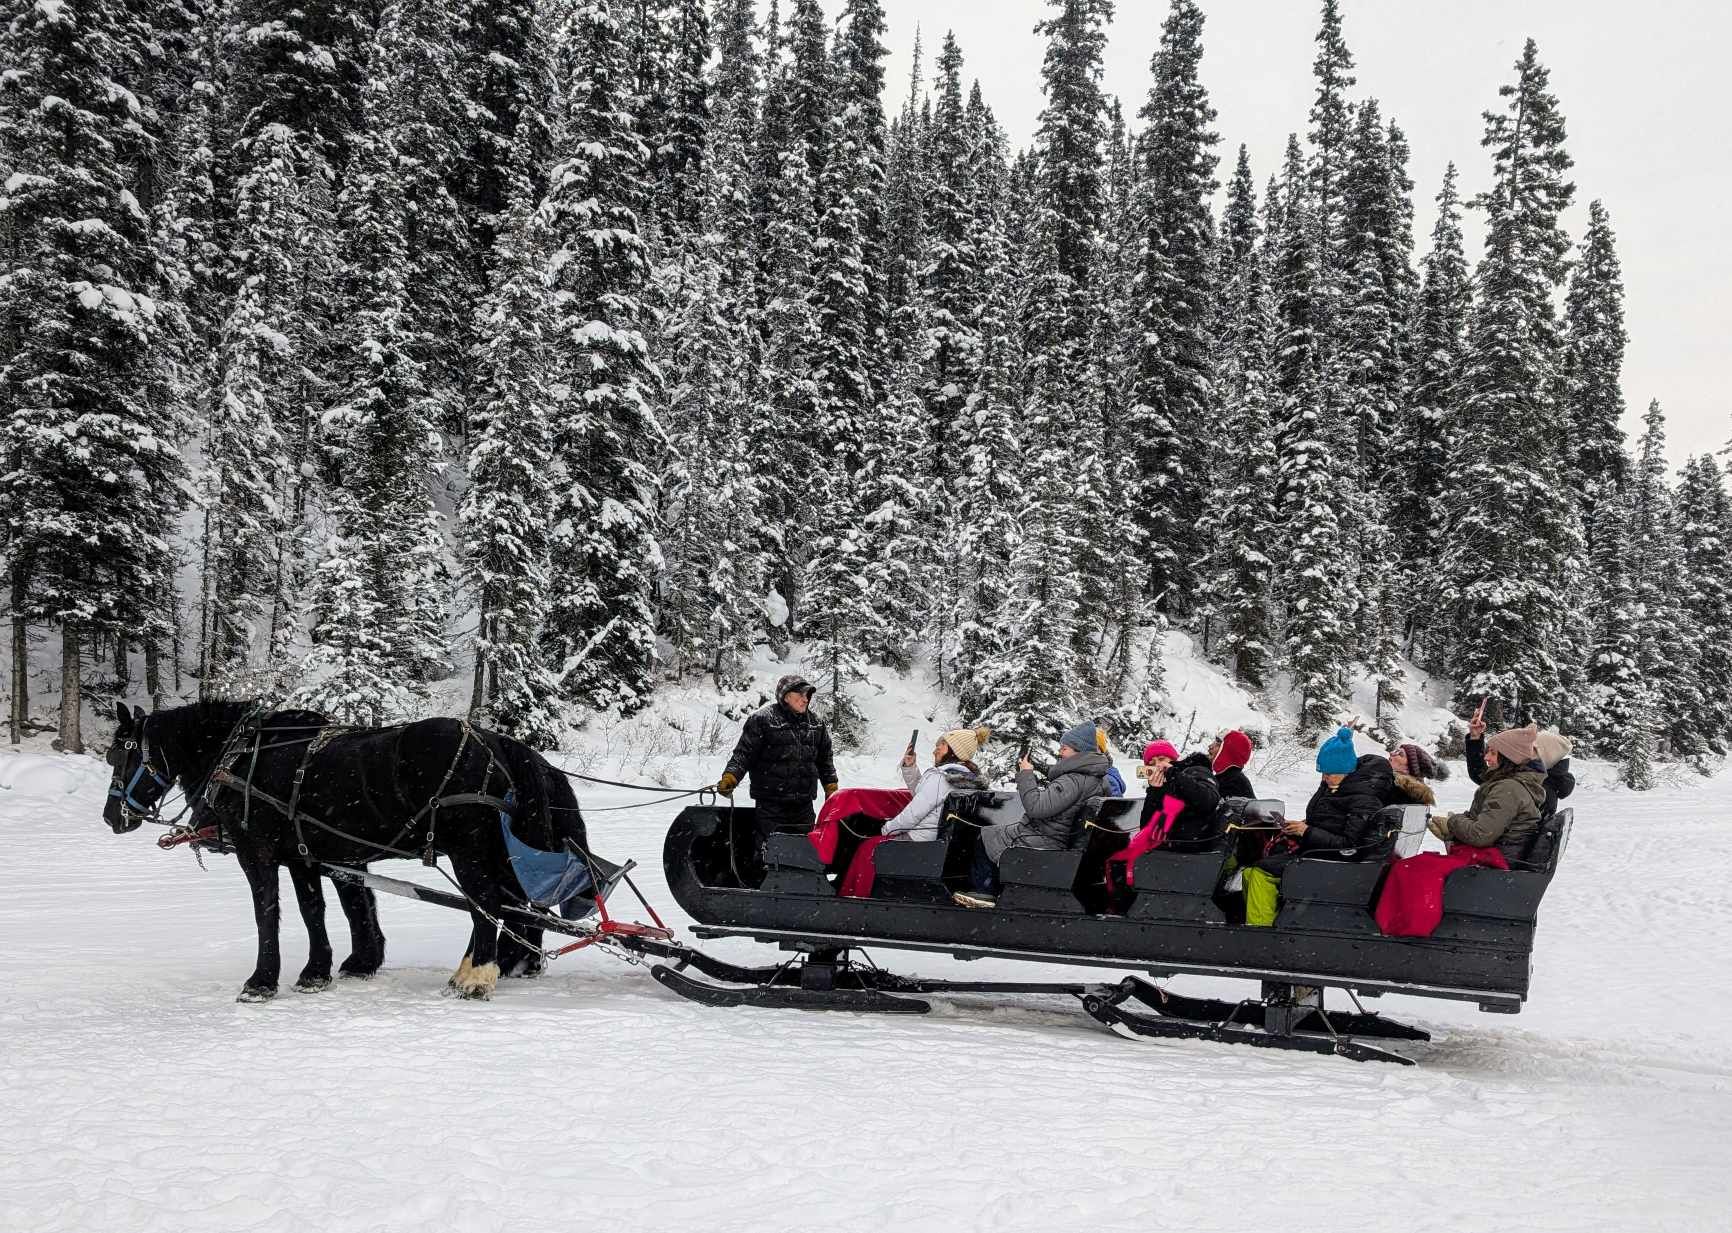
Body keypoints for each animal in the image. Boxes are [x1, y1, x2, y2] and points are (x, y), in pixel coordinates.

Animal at [102, 700, 589, 1002]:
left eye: (120, 755)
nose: (111, 817)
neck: (243, 756)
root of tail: (498, 745)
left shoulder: (258, 853)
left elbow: (268, 914)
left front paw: (261, 982)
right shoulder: (304, 855)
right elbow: (318, 909)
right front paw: (321, 971)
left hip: (469, 849)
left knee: (487, 903)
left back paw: (477, 978)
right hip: (497, 851)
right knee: (513, 906)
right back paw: (506, 964)